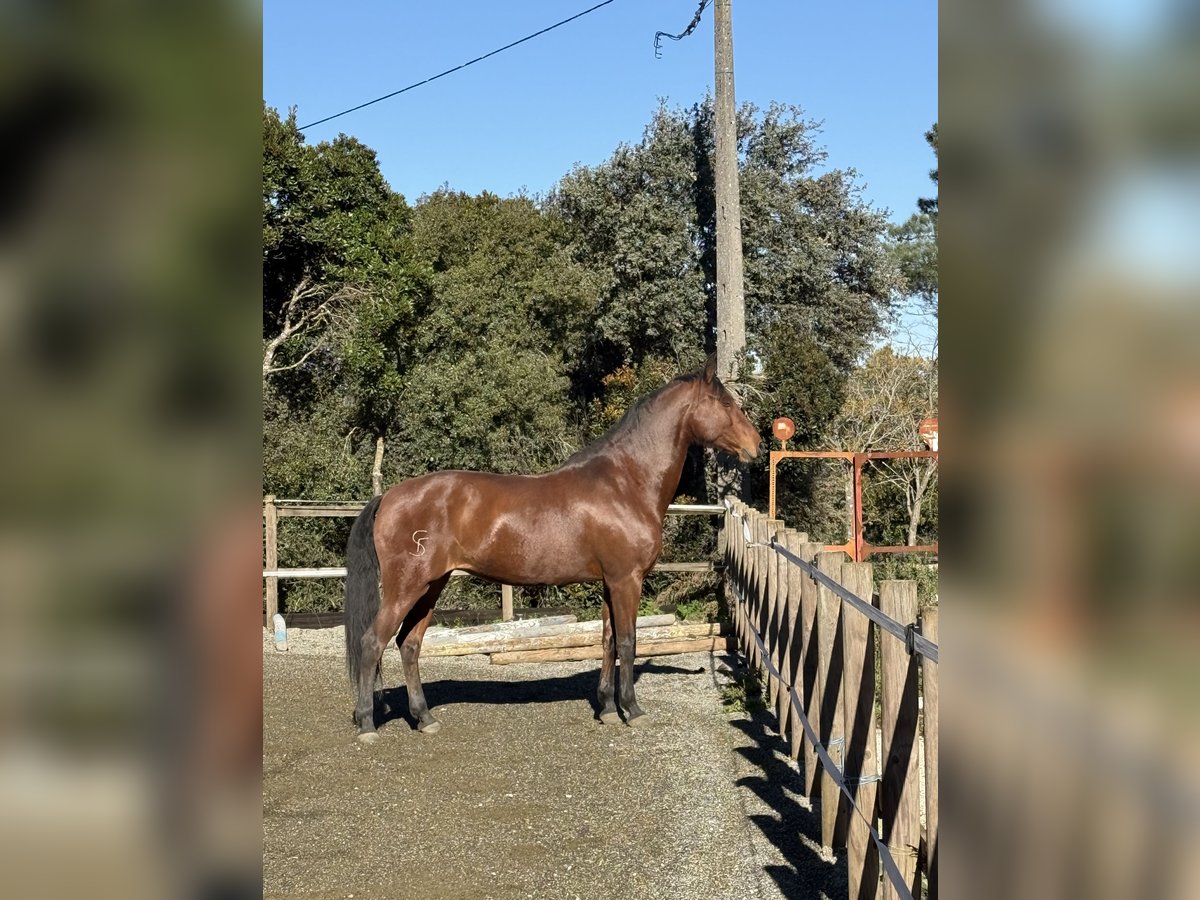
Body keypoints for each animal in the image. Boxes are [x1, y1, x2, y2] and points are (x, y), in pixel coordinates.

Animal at [345, 355, 758, 744]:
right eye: (724, 402)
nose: (755, 444)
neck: (625, 482)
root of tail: (389, 497)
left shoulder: (610, 582)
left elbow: (607, 641)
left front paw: (608, 709)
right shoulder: (627, 580)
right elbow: (628, 642)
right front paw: (632, 710)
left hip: (432, 586)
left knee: (409, 644)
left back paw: (425, 718)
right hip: (406, 587)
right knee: (372, 642)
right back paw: (367, 724)